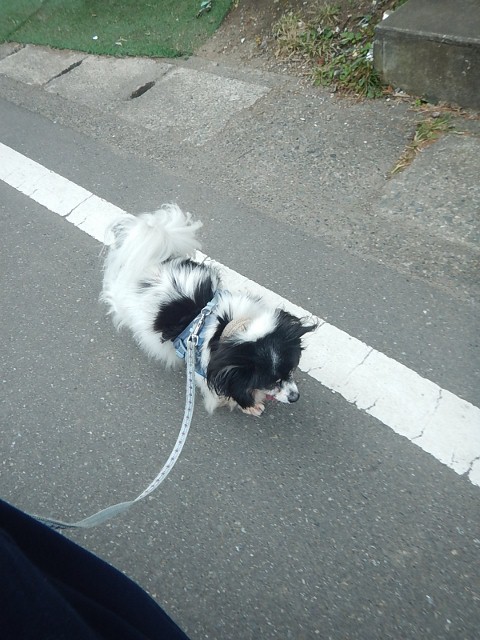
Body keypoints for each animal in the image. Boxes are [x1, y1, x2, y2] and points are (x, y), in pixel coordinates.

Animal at [101, 204, 316, 416]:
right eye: (271, 382)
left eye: (291, 370)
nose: (295, 397)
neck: (232, 326)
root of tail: (150, 262)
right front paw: (248, 405)